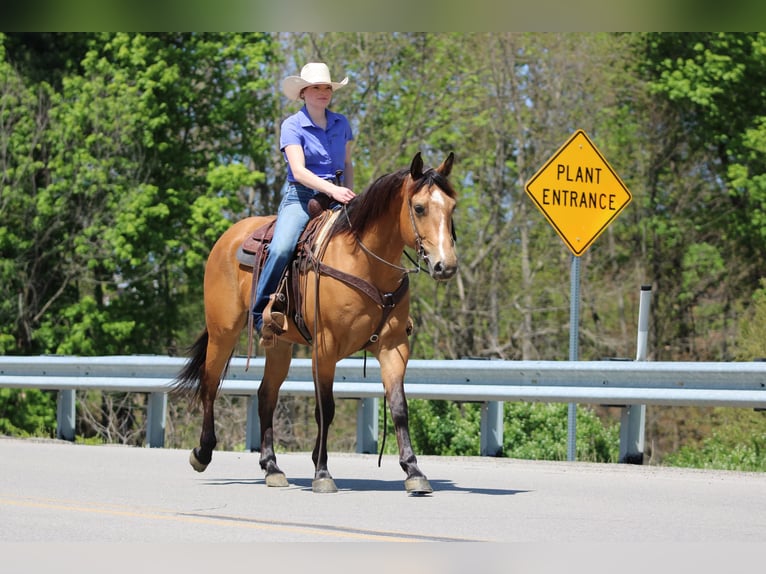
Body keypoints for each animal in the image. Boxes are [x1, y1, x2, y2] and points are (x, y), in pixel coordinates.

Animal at [172, 152, 458, 494]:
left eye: (453, 206)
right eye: (419, 208)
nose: (446, 265)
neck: (364, 261)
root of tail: (229, 237)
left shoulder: (394, 347)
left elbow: (399, 407)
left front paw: (414, 471)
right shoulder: (325, 346)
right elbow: (326, 408)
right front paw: (322, 472)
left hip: (279, 345)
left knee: (266, 396)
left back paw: (272, 467)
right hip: (222, 332)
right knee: (210, 385)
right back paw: (202, 453)